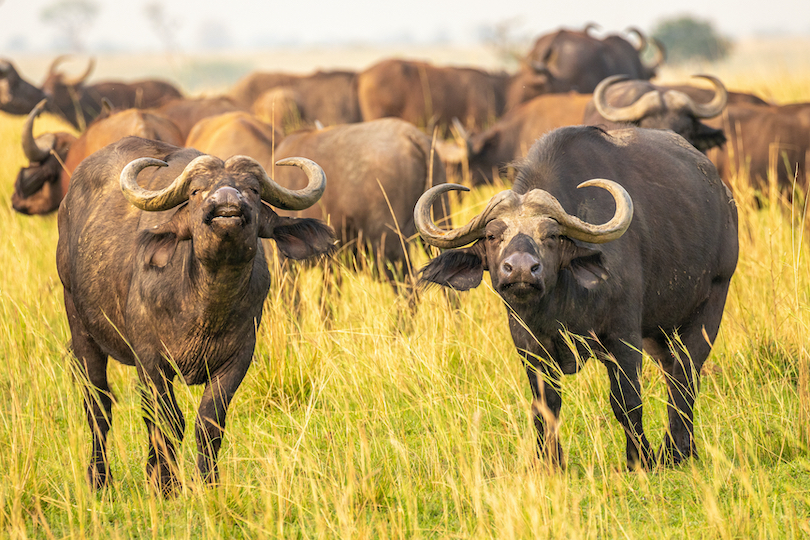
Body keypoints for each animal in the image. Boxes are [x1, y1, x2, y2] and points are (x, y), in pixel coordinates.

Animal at [56, 135, 332, 494]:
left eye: (253, 189)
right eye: (196, 191)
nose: (227, 203)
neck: (206, 310)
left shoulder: (238, 358)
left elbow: (209, 422)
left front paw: (206, 482)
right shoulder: (151, 359)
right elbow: (168, 420)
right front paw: (167, 485)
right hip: (80, 328)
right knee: (99, 407)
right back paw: (100, 479)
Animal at [416, 125, 740, 468]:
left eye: (551, 236)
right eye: (492, 235)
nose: (520, 270)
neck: (560, 306)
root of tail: (723, 197)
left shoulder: (623, 336)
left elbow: (626, 400)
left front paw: (639, 460)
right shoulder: (529, 345)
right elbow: (545, 406)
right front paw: (549, 462)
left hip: (711, 303)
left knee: (686, 376)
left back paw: (676, 452)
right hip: (659, 332)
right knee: (672, 372)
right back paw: (683, 449)